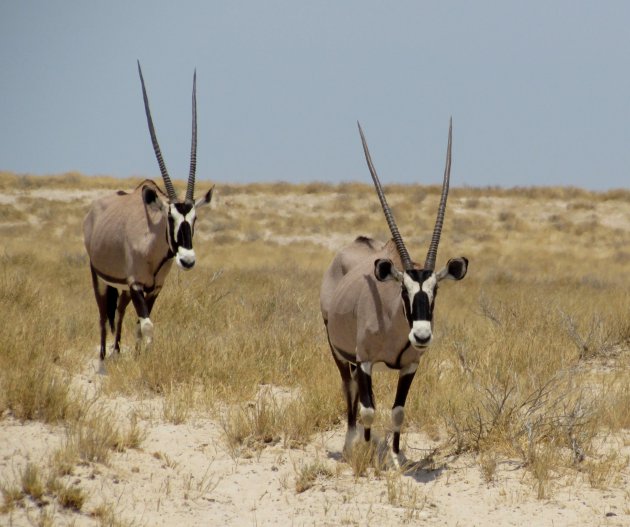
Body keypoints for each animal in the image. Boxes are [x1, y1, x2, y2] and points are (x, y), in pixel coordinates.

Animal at [84, 59, 215, 360]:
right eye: (170, 217)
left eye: (195, 218)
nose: (187, 260)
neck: (152, 243)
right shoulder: (135, 285)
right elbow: (147, 326)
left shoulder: (153, 289)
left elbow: (139, 325)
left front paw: (137, 356)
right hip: (100, 278)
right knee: (102, 315)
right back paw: (103, 356)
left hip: (121, 289)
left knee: (119, 313)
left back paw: (117, 351)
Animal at [320, 120, 470, 466]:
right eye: (403, 289)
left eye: (436, 289)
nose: (422, 335)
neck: (393, 322)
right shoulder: (364, 361)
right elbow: (369, 410)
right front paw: (367, 453)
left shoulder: (410, 366)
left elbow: (398, 411)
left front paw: (398, 457)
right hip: (339, 352)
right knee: (348, 391)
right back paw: (350, 445)